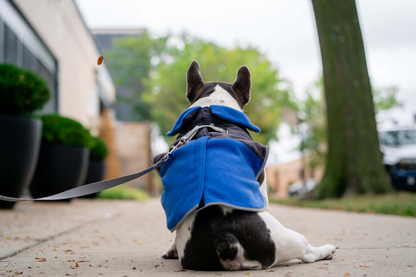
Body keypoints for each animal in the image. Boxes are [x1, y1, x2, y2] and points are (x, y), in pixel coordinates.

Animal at [154, 60, 336, 270]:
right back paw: (326, 250)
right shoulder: (262, 187)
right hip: (286, 237)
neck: (210, 110)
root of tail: (225, 238)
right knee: (307, 253)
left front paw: (171, 249)